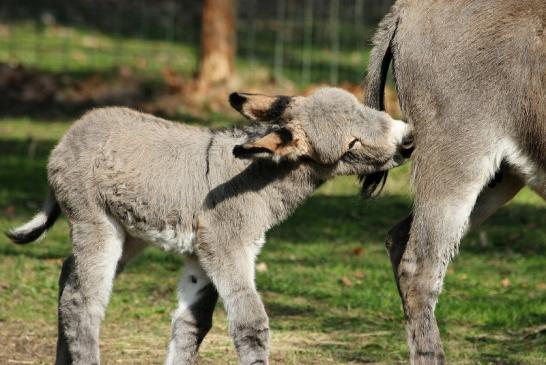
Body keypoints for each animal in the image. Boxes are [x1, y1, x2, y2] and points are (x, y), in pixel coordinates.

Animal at [7, 87, 408, 364]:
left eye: (363, 106)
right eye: (351, 145)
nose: (408, 140)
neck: (257, 177)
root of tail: (70, 134)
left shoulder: (202, 255)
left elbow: (192, 325)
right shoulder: (227, 248)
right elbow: (251, 325)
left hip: (130, 233)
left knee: (67, 278)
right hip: (95, 222)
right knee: (81, 301)